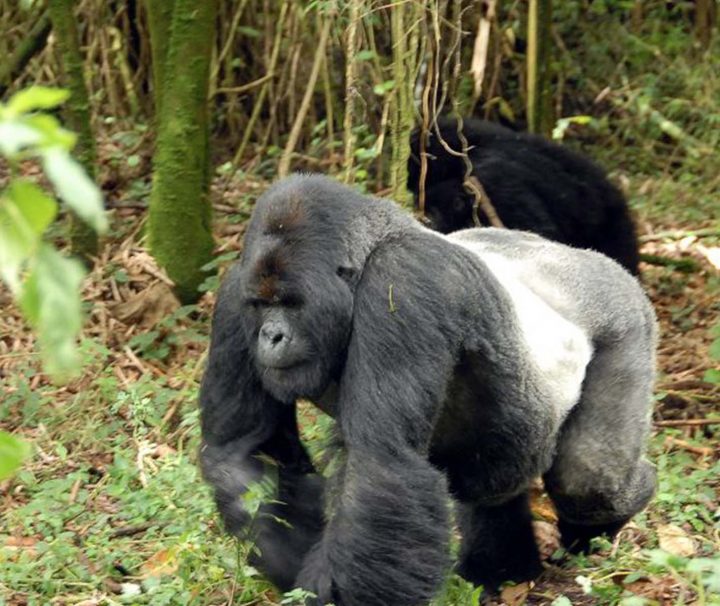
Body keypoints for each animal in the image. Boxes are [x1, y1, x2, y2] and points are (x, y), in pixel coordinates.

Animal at [200, 173, 656, 604]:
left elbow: (382, 470)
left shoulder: (403, 279)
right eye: (261, 305)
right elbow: (246, 453)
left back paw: (614, 515)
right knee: (497, 485)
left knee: (589, 479)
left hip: (623, 315)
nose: (271, 336)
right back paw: (502, 569)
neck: (372, 249)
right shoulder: (234, 293)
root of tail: (580, 256)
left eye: (291, 303)